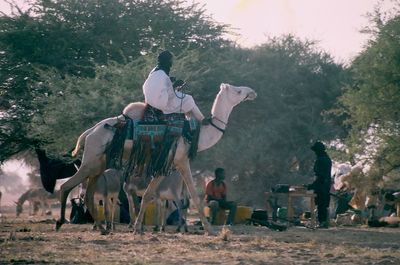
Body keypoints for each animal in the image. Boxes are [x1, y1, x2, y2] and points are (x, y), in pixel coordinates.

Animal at [56, 82, 256, 233]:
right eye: (238, 91)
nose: (252, 92)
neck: (195, 135)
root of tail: (89, 132)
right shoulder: (179, 160)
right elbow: (190, 195)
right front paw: (210, 230)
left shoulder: (170, 163)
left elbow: (150, 196)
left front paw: (139, 228)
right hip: (91, 159)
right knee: (67, 186)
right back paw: (61, 222)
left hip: (99, 162)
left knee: (89, 193)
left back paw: (100, 227)